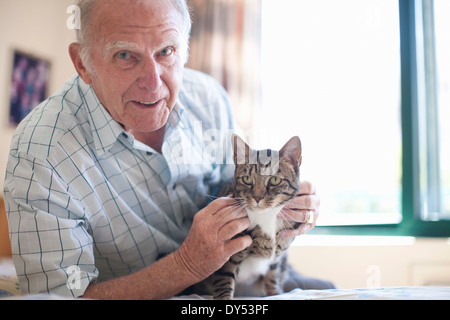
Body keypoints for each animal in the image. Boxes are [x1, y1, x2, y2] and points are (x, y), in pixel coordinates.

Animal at [203, 134, 304, 298]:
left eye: (274, 180)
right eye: (247, 179)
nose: (257, 197)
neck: (266, 216)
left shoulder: (277, 255)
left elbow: (272, 276)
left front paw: (275, 293)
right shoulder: (225, 255)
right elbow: (224, 282)